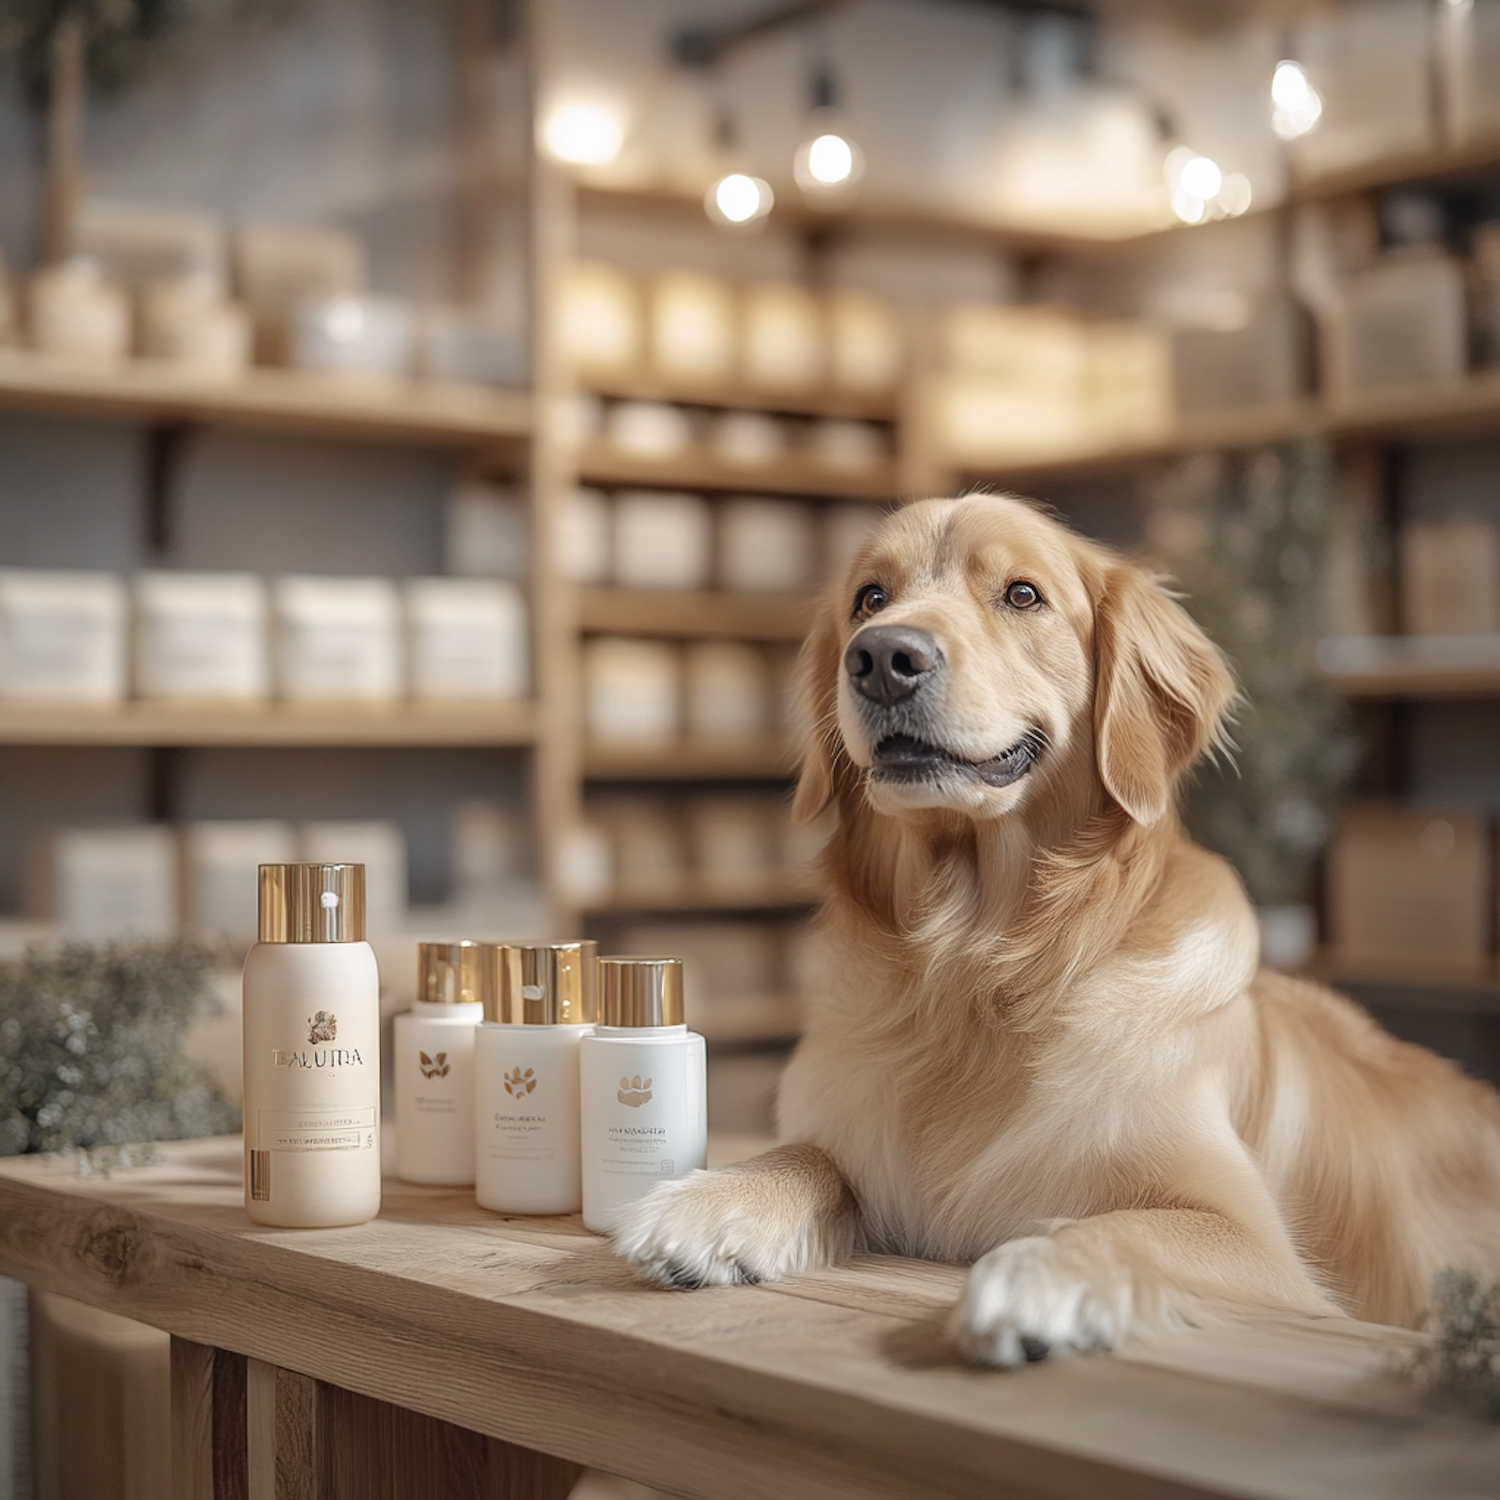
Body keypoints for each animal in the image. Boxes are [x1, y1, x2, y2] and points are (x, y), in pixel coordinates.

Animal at [609, 498, 1500, 1368]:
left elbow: (1126, 1226)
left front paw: (1038, 1272)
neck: (975, 966)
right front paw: (716, 1198)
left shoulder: (1257, 1244)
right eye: (869, 598)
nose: (882, 657)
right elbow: (813, 1154)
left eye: (1022, 594)